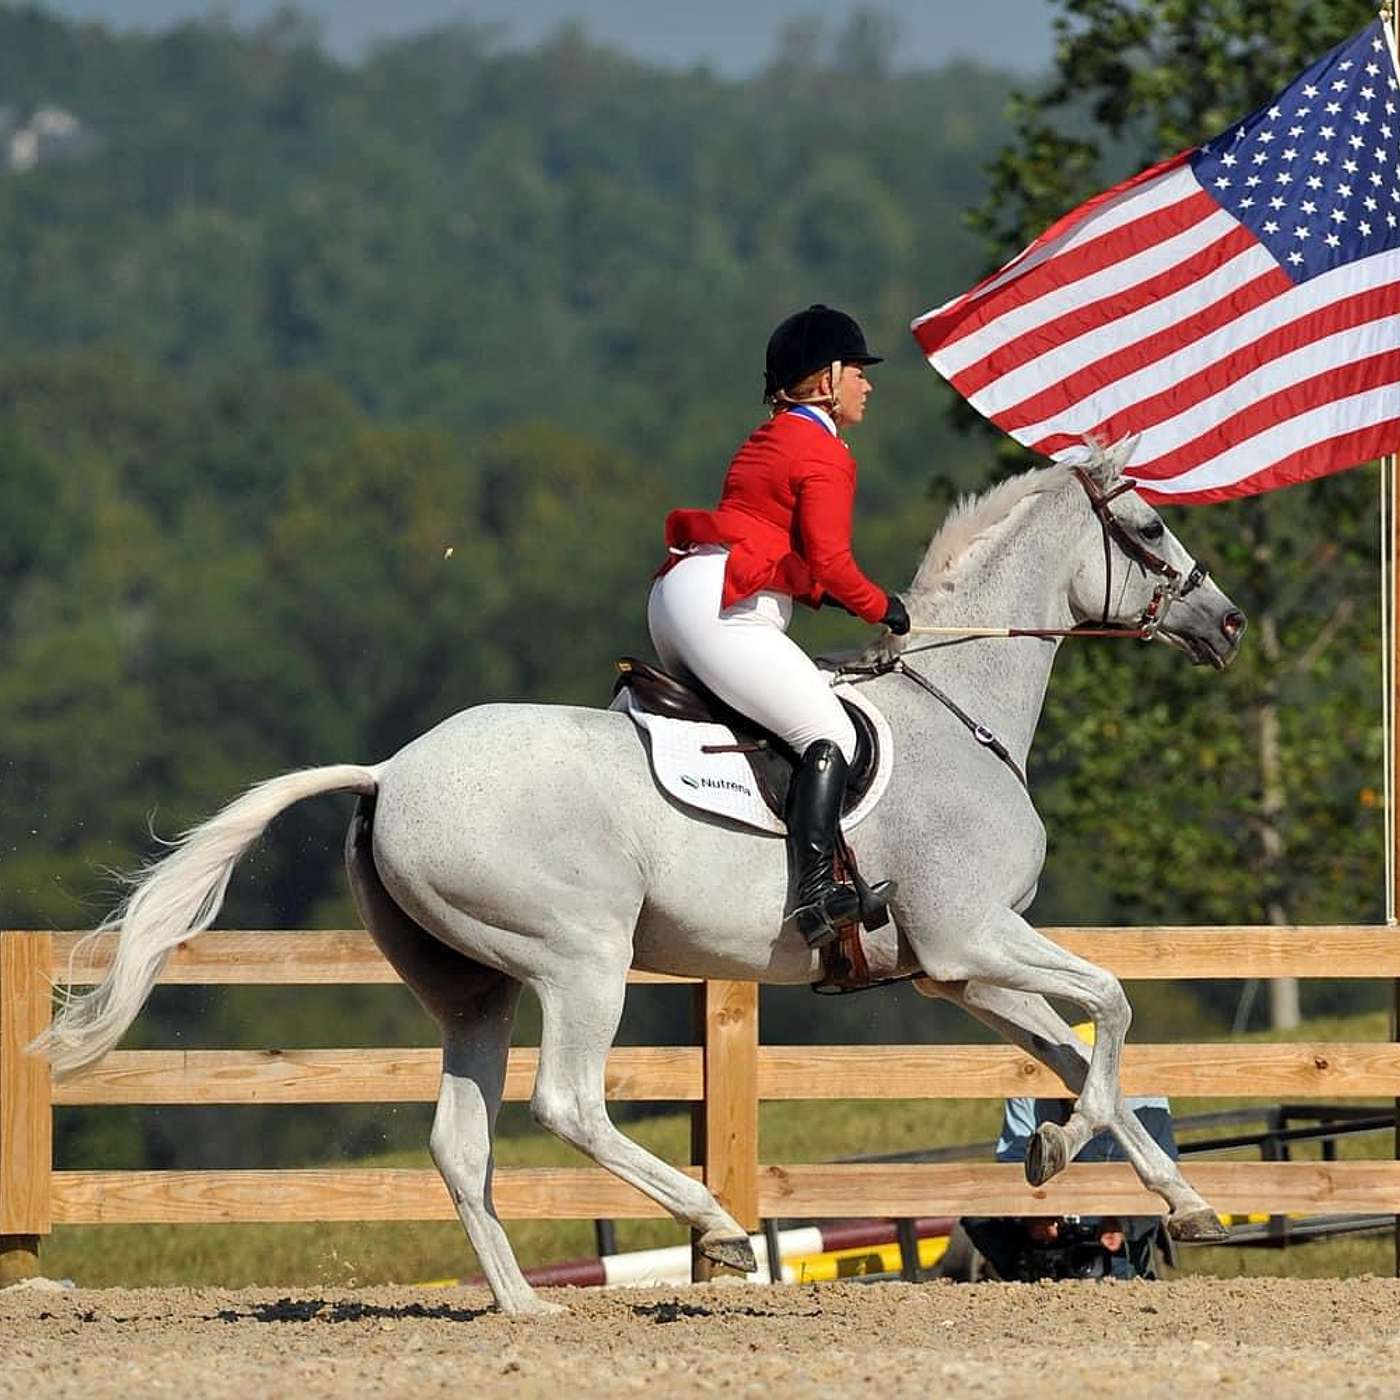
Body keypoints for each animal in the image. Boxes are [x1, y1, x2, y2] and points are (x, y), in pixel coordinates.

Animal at [32, 448, 1243, 1310]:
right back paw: (716, 1228)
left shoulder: (955, 968)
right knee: (565, 1103)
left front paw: (1166, 1196)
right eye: (1145, 528)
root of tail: (387, 772)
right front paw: (1058, 1152)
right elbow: (1110, 1006)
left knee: (461, 1140)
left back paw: (528, 1309)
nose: (1225, 623)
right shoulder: (968, 937)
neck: (962, 712)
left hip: (475, 989)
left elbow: (1075, 1048)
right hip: (582, 960)